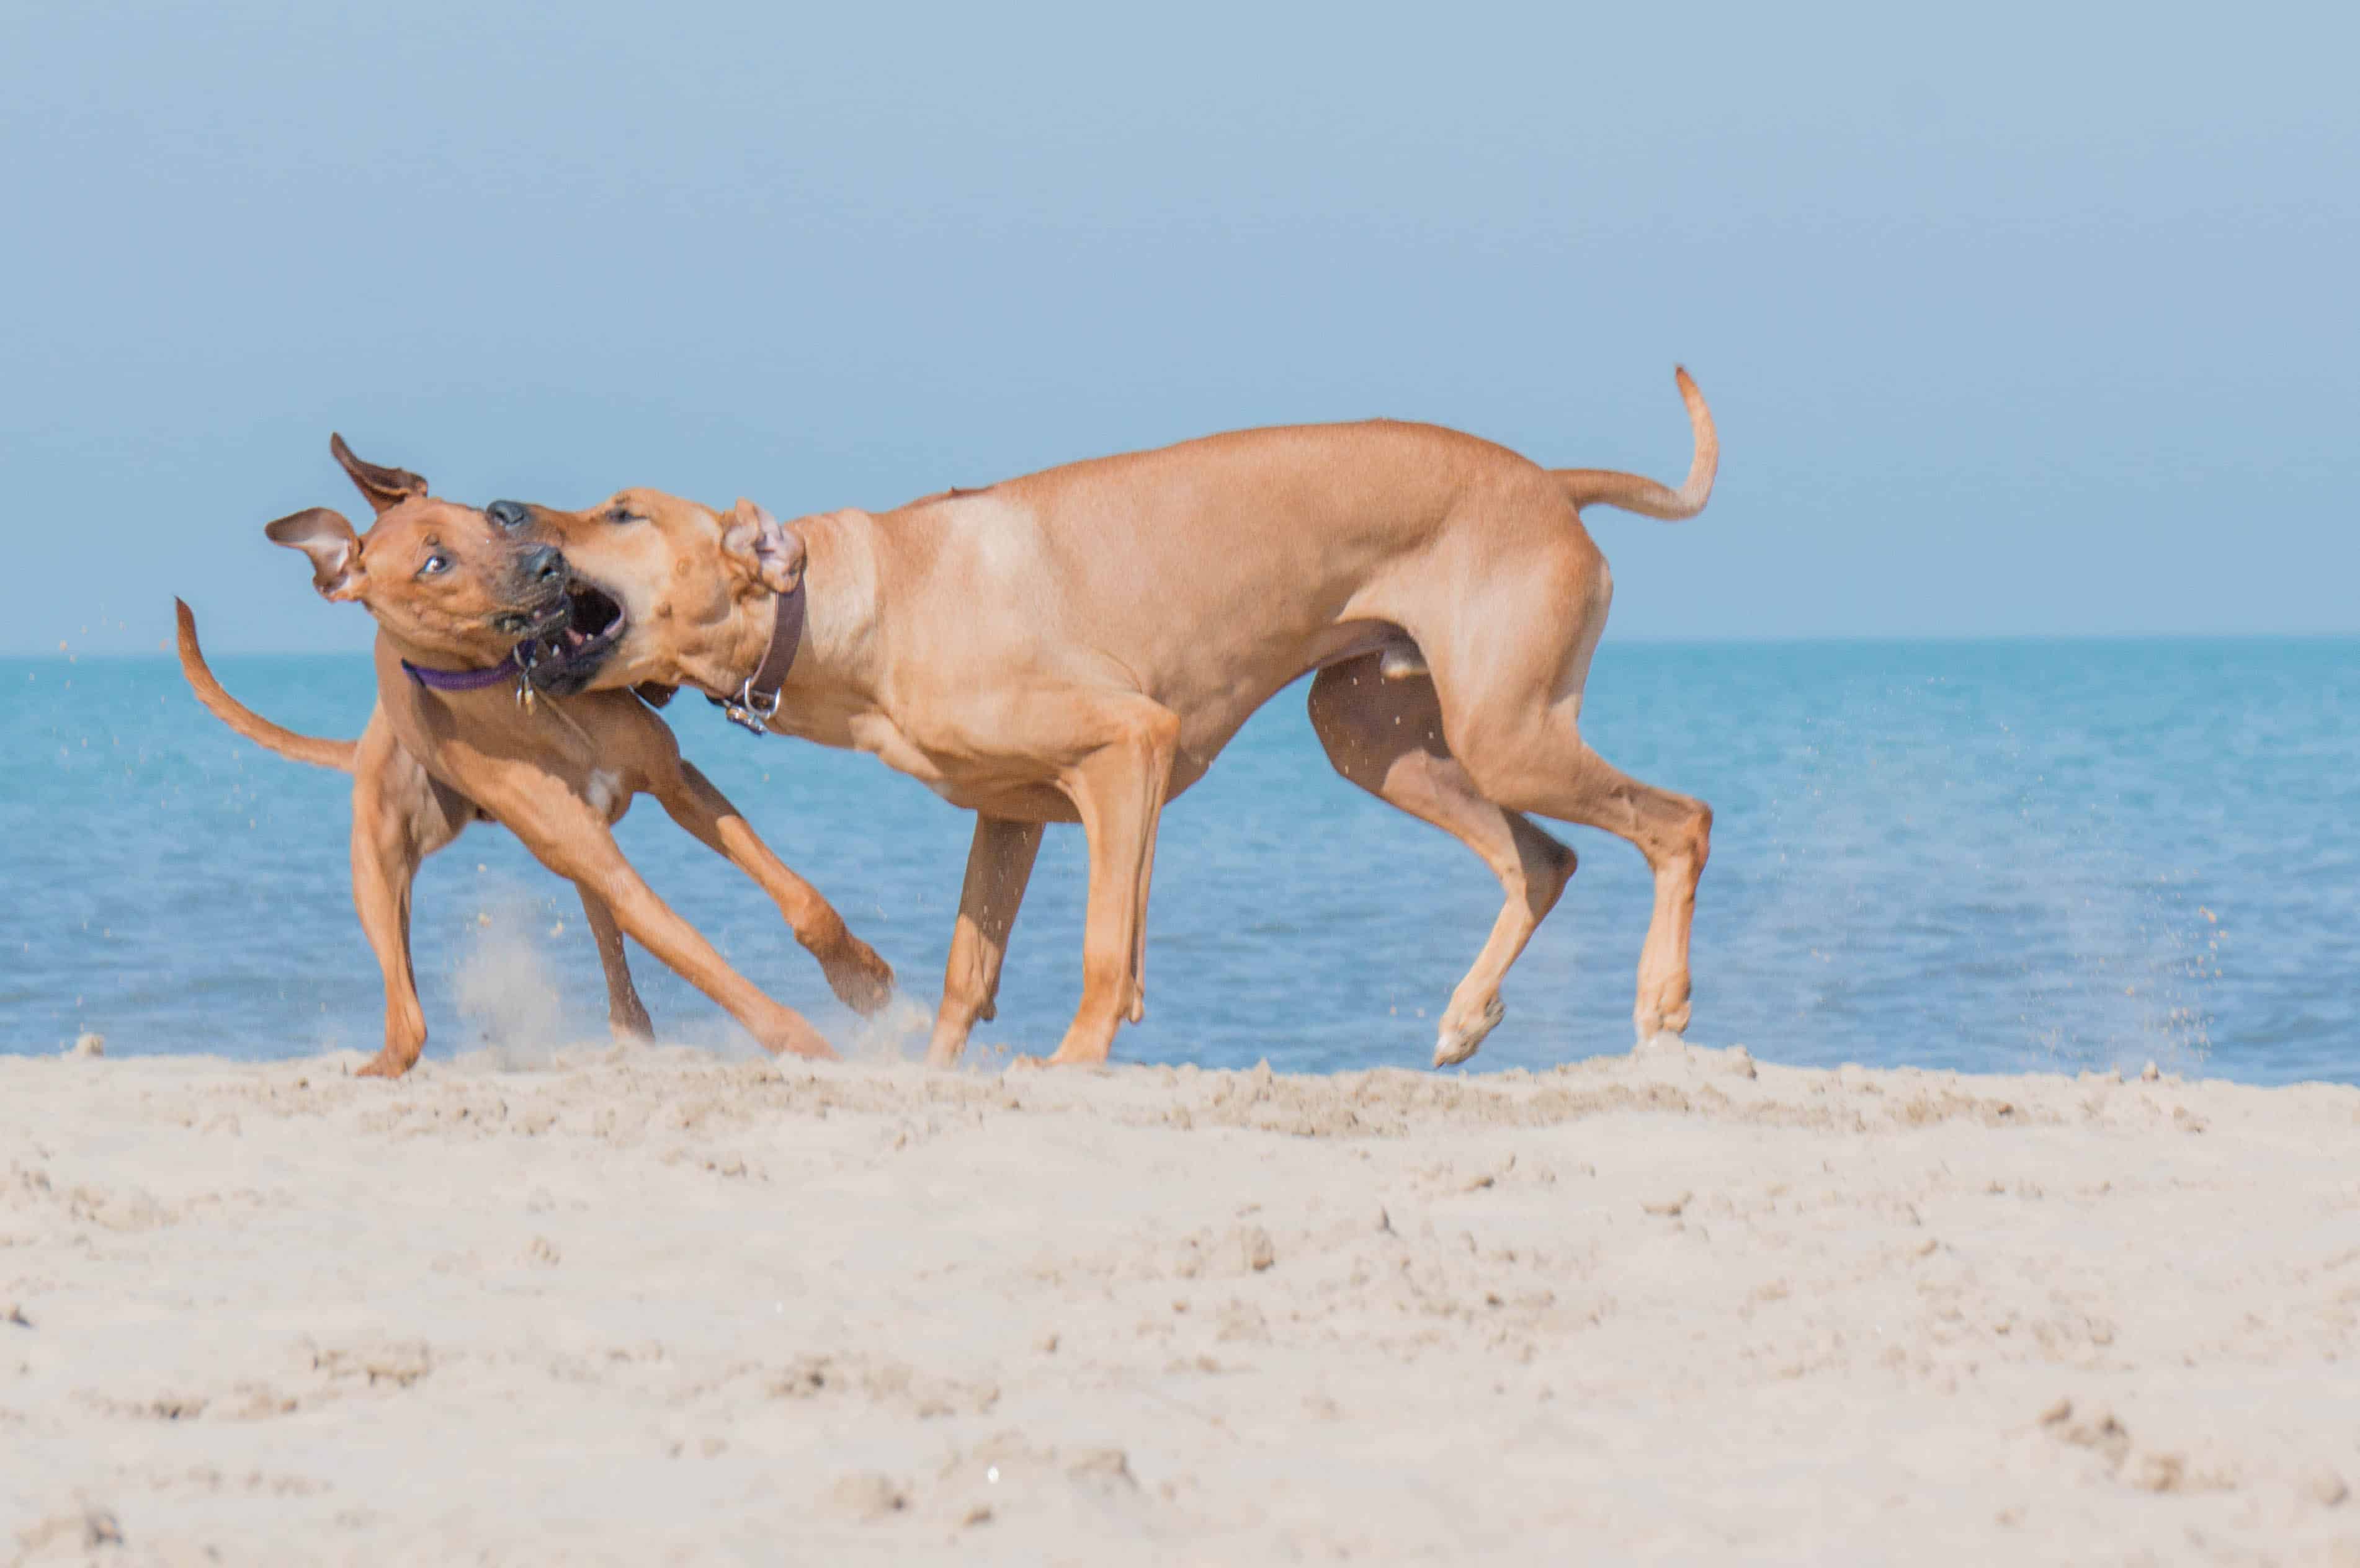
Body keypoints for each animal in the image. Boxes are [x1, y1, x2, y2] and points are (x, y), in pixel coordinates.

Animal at [179, 436, 887, 1075]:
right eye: (434, 564)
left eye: (486, 521)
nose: (548, 562)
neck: (523, 695)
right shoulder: (598, 856)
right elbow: (691, 948)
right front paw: (808, 1043)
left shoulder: (680, 783)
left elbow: (801, 898)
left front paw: (862, 978)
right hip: (381, 865)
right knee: (409, 1022)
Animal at [503, 372, 1718, 1070]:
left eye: (624, 512)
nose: (506, 508)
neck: (872, 597)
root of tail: (1549, 481)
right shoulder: (1010, 813)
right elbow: (967, 972)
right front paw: (936, 1076)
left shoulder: (1128, 749)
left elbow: (1102, 945)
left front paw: (1077, 1055)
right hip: (1382, 741)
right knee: (1542, 859)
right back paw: (1467, 1015)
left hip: (1507, 733)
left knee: (1680, 822)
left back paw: (1660, 1003)